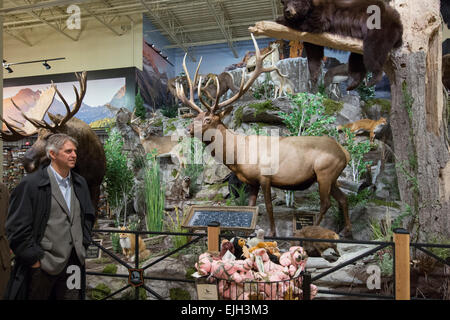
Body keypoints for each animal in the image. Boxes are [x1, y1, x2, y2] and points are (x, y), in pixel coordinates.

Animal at [176, 33, 352, 238]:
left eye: (208, 119)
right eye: (195, 117)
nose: (188, 129)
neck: (238, 156)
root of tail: (344, 153)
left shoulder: (265, 177)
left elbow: (268, 206)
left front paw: (272, 232)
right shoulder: (252, 182)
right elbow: (252, 205)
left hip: (325, 172)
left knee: (326, 203)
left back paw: (310, 231)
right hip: (332, 177)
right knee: (343, 199)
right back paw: (346, 231)